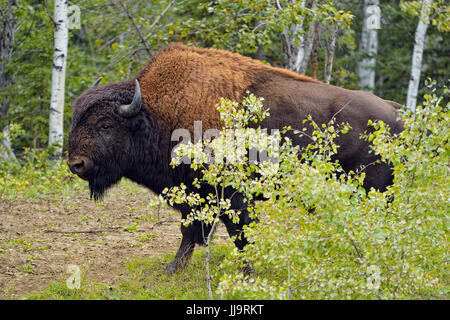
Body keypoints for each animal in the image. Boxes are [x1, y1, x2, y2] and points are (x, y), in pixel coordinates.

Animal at [67, 42, 404, 272]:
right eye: (75, 122)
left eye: (105, 125)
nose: (76, 164)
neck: (155, 113)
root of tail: (394, 110)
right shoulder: (194, 195)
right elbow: (192, 230)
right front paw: (174, 268)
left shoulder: (231, 193)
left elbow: (237, 231)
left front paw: (247, 272)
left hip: (372, 191)